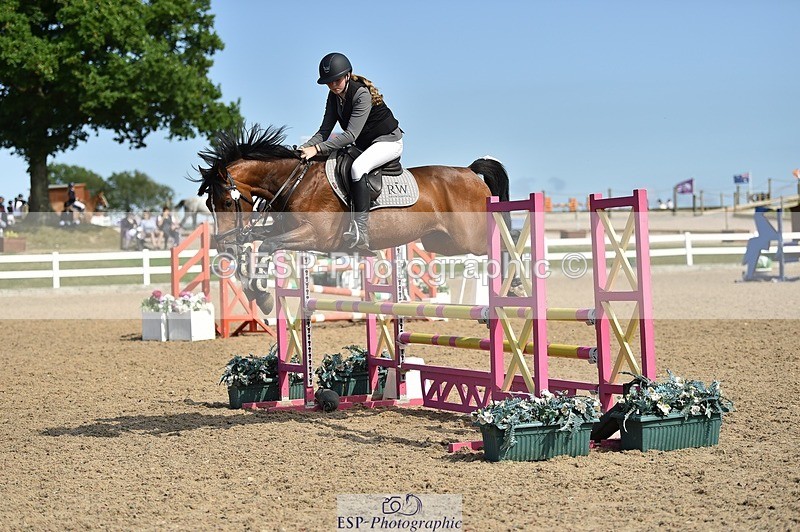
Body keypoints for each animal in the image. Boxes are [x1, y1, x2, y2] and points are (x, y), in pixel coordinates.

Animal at [192, 124, 511, 312]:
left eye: (225, 202)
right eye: (208, 204)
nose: (224, 245)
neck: (296, 181)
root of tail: (470, 172)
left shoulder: (315, 235)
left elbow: (268, 246)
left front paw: (262, 295)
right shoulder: (285, 230)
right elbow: (262, 242)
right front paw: (255, 292)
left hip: (469, 239)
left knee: (504, 245)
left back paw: (512, 284)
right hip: (440, 243)